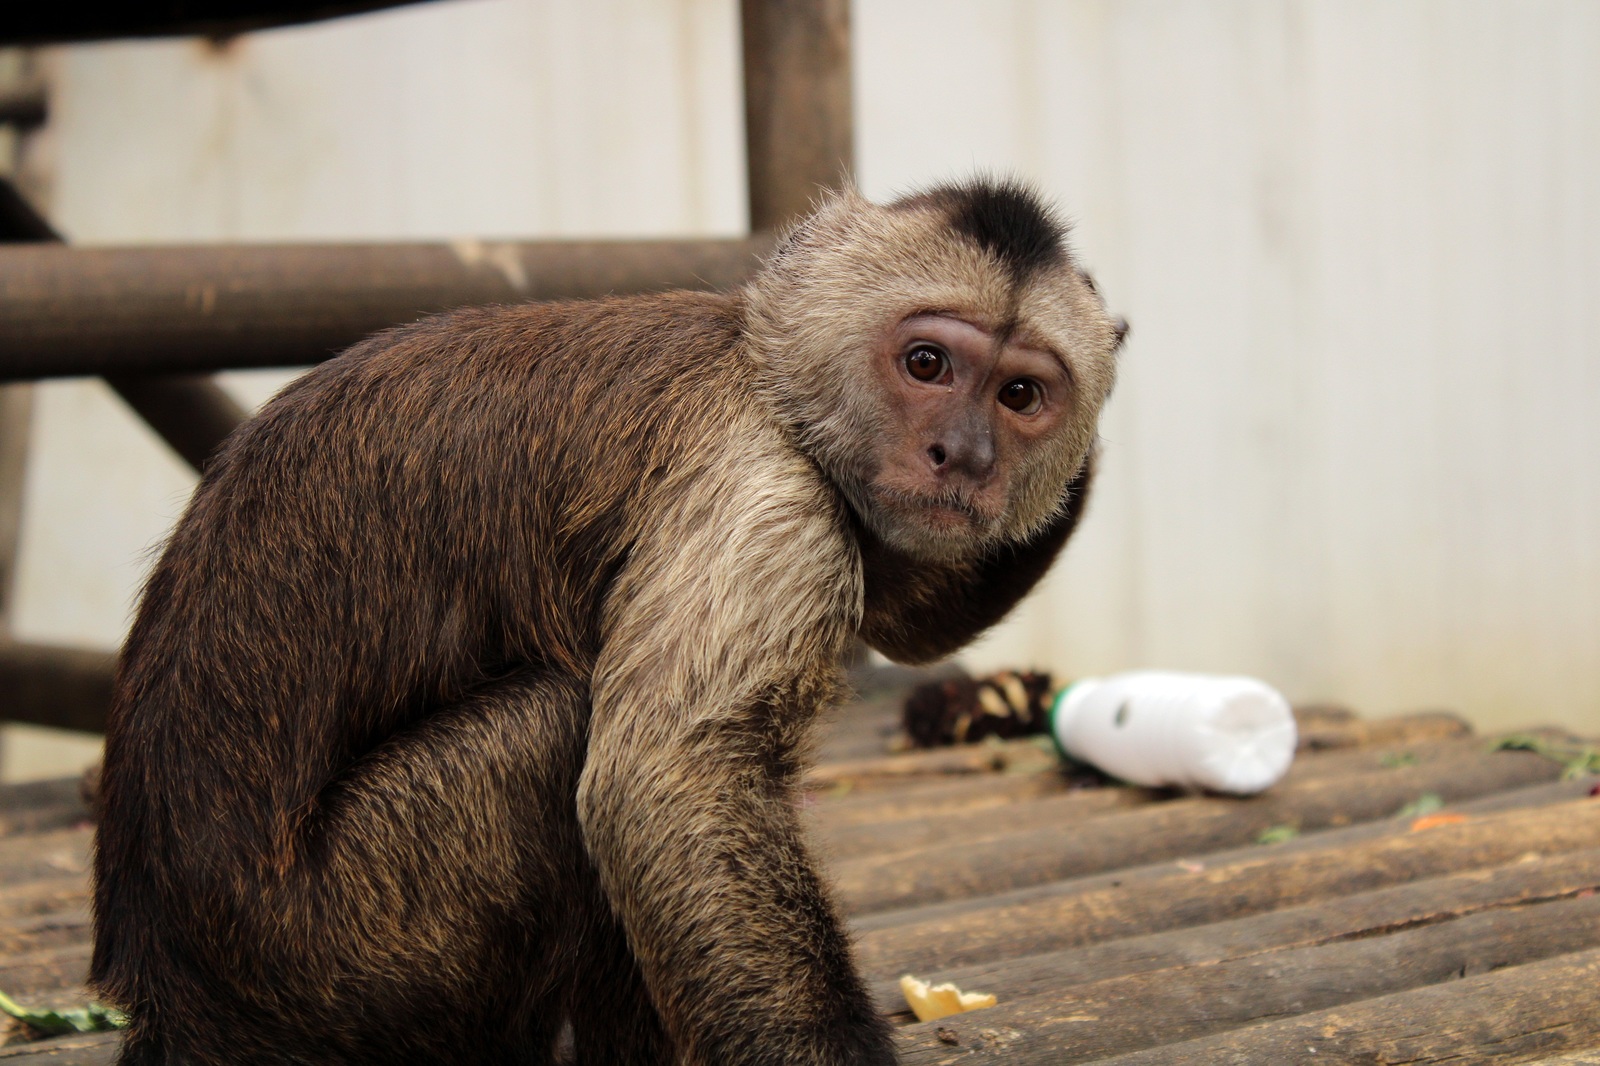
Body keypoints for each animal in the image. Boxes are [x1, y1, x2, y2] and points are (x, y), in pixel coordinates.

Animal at [87, 178, 1126, 1056]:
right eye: (926, 363)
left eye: (1020, 395)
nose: (965, 455)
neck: (759, 378)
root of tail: (170, 993)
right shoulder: (761, 483)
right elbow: (665, 784)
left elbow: (908, 615)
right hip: (324, 959)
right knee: (557, 731)